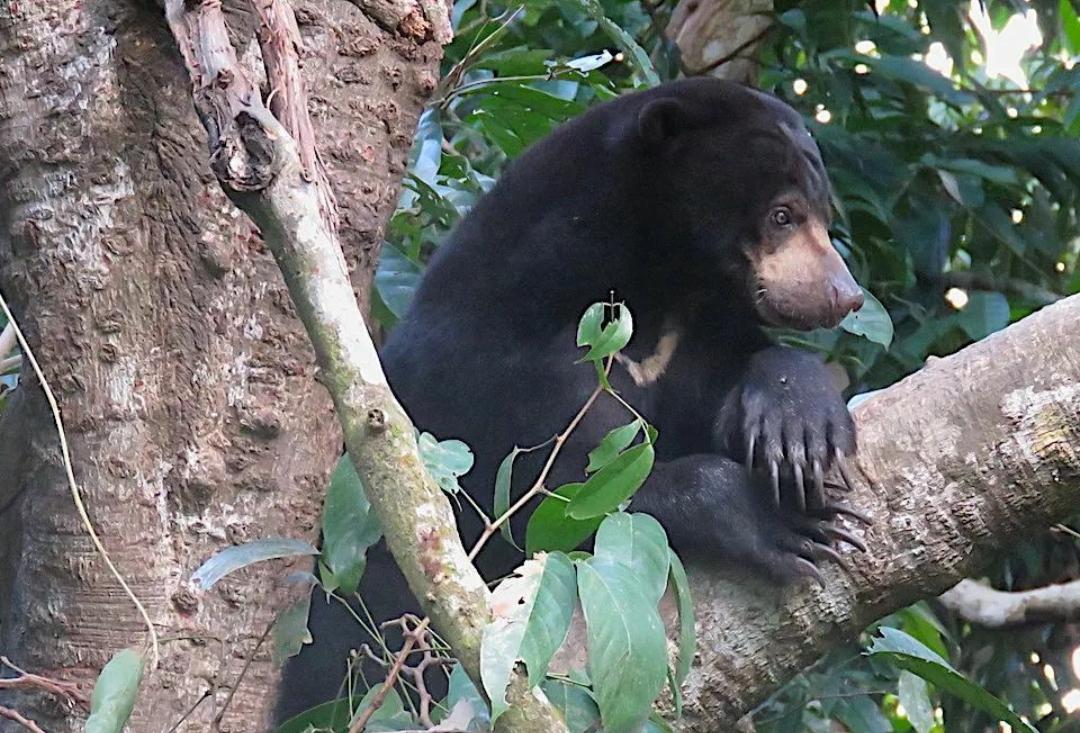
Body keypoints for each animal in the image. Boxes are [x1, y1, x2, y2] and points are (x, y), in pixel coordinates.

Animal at [278, 77, 868, 721]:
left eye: (824, 214)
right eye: (783, 214)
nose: (846, 295)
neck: (652, 284)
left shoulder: (693, 340)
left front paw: (800, 426)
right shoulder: (499, 364)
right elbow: (551, 498)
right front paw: (780, 521)